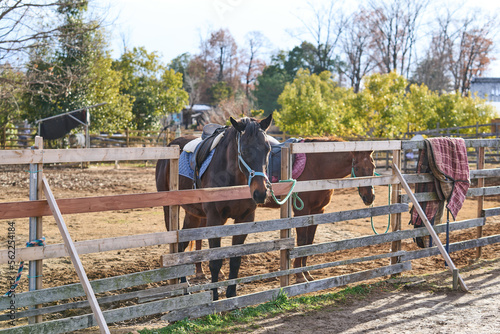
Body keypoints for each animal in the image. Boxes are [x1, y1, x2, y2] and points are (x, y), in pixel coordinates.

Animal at [156, 115, 274, 300]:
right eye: (244, 150)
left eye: (268, 149)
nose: (261, 193)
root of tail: (170, 145)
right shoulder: (214, 219)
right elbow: (215, 262)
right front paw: (214, 296)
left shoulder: (245, 219)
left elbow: (235, 259)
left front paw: (232, 294)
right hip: (169, 210)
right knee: (176, 249)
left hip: (193, 215)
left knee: (182, 247)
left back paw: (184, 286)